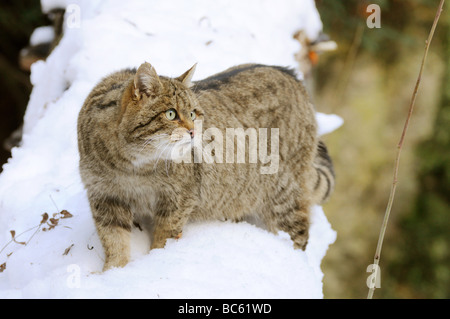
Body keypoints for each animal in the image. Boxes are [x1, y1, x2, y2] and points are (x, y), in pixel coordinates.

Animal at [77, 61, 334, 272]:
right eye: (171, 114)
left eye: (193, 113)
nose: (193, 131)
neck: (134, 166)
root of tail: (293, 77)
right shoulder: (105, 197)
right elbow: (114, 241)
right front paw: (112, 272)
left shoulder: (178, 199)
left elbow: (164, 237)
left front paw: (156, 260)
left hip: (283, 196)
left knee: (299, 232)